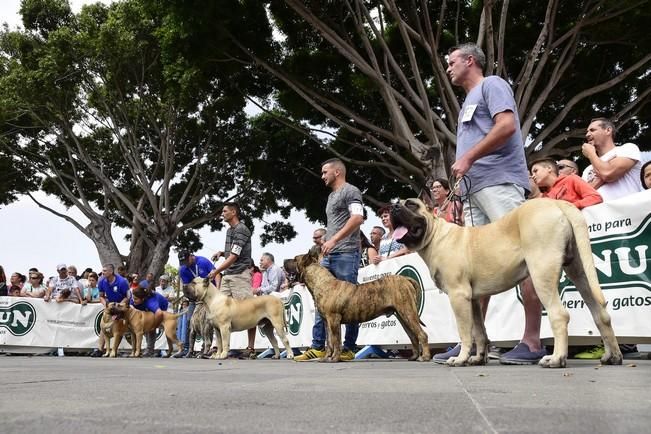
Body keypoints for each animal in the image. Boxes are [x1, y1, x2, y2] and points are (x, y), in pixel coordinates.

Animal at [296, 249, 432, 362]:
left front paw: (334, 358)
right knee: (413, 336)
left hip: (408, 312)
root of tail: (406, 279)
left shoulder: (333, 319)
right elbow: (329, 342)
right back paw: (414, 356)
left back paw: (424, 357)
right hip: (403, 316)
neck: (322, 282)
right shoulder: (327, 322)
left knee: (422, 335)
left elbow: (336, 341)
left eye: (294, 260)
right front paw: (326, 358)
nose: (288, 259)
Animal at [390, 198, 624, 368]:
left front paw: (460, 358)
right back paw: (612, 356)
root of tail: (557, 202)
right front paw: (478, 358)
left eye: (411, 204)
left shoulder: (458, 295)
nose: (393, 207)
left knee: (559, 315)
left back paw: (556, 358)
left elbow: (465, 331)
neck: (435, 235)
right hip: (580, 272)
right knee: (601, 315)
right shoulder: (472, 300)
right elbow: (479, 331)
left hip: (541, 272)